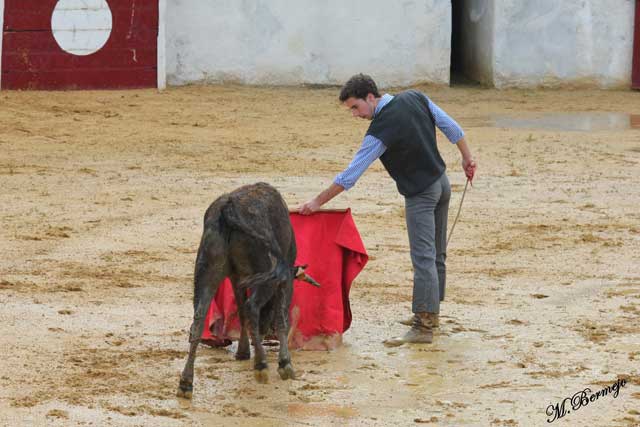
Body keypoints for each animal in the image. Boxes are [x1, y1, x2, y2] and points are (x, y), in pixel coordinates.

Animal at [176, 182, 316, 400]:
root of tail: (227, 207)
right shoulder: (283, 280)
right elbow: (281, 318)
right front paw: (284, 364)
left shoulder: (236, 279)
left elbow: (241, 312)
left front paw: (242, 353)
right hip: (268, 274)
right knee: (252, 307)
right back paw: (262, 365)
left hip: (207, 271)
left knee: (198, 320)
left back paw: (185, 383)